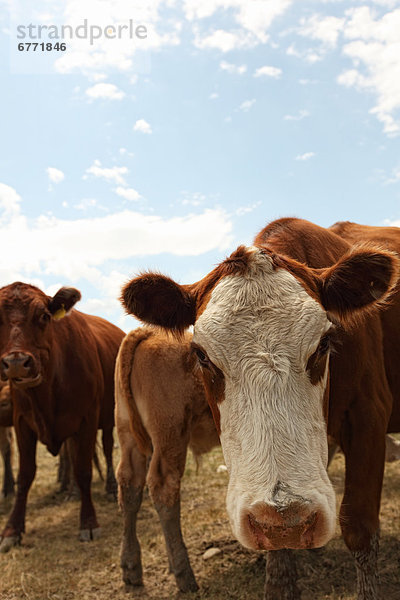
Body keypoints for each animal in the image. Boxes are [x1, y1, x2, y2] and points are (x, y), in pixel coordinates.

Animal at [0, 282, 124, 552]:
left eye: (44, 316)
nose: (16, 362)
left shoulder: (88, 419)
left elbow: (84, 471)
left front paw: (88, 522)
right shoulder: (22, 423)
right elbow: (25, 475)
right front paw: (12, 530)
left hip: (110, 418)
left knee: (108, 449)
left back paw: (111, 487)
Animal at [114, 328, 219, 596]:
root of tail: (148, 332)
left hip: (128, 434)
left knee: (130, 486)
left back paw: (131, 568)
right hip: (170, 436)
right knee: (164, 488)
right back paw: (184, 575)